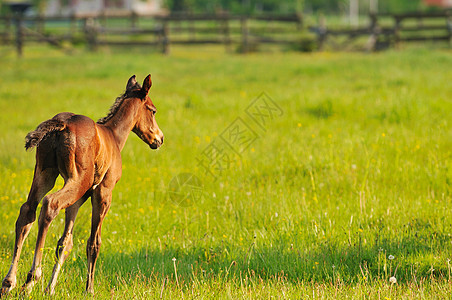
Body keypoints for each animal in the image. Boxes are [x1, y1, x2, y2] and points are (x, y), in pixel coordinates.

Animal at [0, 74, 162, 296]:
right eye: (152, 110)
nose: (159, 138)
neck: (114, 136)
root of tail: (62, 124)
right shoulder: (103, 192)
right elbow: (94, 243)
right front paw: (89, 289)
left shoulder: (78, 201)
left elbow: (65, 243)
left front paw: (50, 288)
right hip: (76, 180)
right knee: (50, 204)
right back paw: (32, 278)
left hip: (45, 174)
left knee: (28, 211)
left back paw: (9, 282)